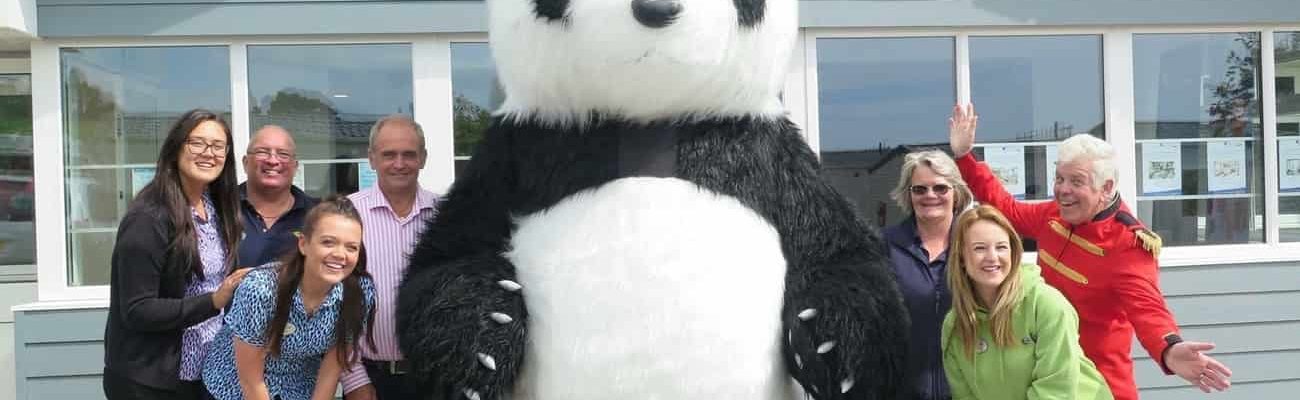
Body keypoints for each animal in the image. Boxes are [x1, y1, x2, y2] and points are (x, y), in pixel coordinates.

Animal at [396, 0, 909, 398]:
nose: (656, 8)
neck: (647, 125)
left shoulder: (770, 158)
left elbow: (841, 250)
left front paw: (828, 341)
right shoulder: (516, 155)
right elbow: (446, 256)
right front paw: (487, 331)